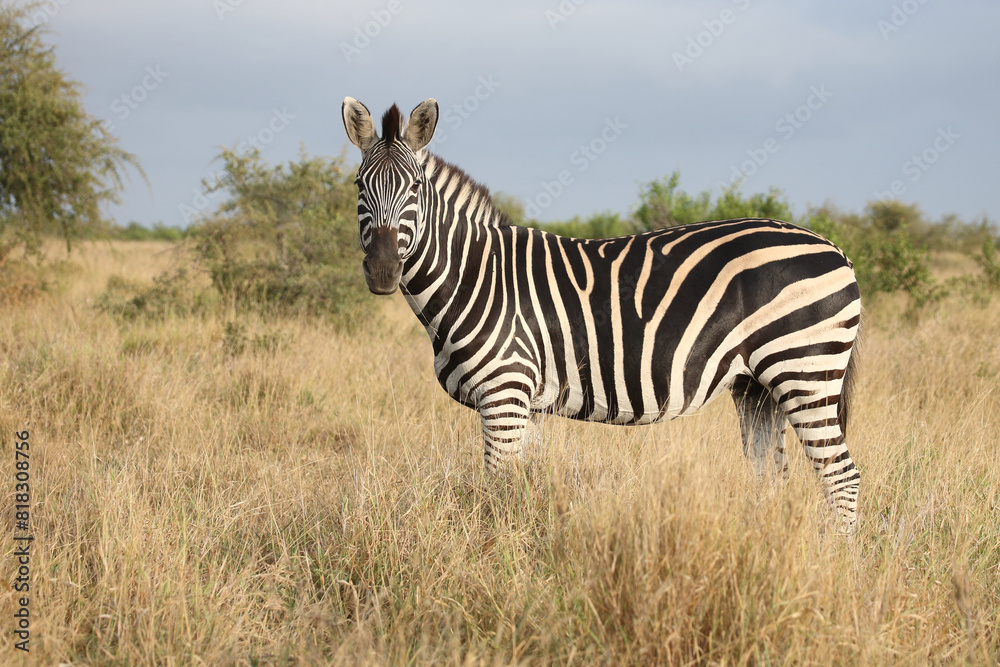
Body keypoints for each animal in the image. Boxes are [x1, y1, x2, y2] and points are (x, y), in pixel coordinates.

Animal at [342, 97, 862, 532]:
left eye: (414, 188)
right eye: (359, 186)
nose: (384, 270)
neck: (477, 275)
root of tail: (835, 248)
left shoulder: (504, 395)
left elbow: (497, 491)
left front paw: (497, 555)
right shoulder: (530, 405)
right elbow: (525, 486)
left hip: (803, 370)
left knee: (842, 477)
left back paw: (837, 560)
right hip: (757, 386)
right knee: (771, 476)